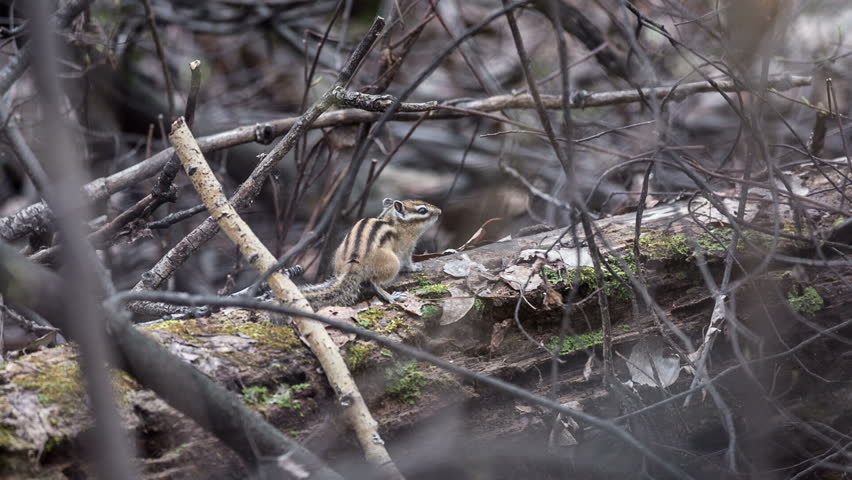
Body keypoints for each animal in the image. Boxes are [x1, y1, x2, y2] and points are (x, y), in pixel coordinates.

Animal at [300, 198, 441, 307]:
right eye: (422, 210)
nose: (439, 211)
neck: (393, 221)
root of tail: (353, 265)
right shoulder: (407, 246)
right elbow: (407, 260)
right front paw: (414, 267)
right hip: (392, 263)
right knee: (376, 283)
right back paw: (391, 297)